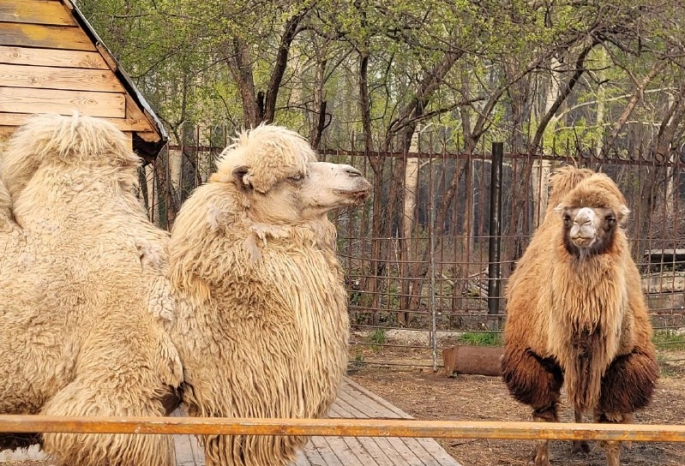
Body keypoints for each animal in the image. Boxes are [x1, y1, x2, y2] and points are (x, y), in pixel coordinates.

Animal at [502, 166, 656, 464]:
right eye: (567, 216)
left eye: (610, 218)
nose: (582, 223)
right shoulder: (533, 356)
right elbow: (544, 419)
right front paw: (540, 458)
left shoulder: (624, 361)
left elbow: (611, 429)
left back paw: (583, 443)